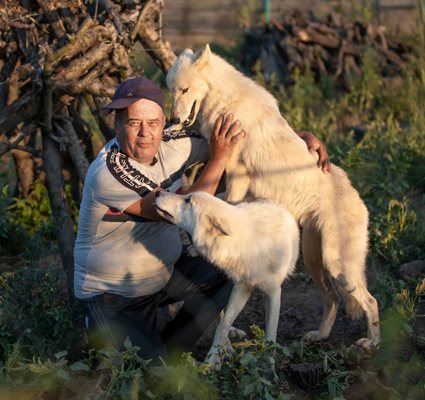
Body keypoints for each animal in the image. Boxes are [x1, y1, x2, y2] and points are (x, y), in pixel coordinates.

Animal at [155, 191, 298, 366]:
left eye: (188, 200)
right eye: (186, 196)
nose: (158, 192)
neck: (248, 245)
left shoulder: (272, 292)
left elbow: (271, 334)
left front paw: (268, 367)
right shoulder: (241, 288)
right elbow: (222, 326)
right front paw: (213, 357)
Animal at [164, 44, 380, 350]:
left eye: (185, 90)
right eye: (172, 91)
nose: (172, 120)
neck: (226, 102)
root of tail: (358, 197)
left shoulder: (238, 176)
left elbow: (227, 208)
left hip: (338, 267)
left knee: (370, 301)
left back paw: (372, 344)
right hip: (316, 263)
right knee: (334, 301)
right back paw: (319, 336)